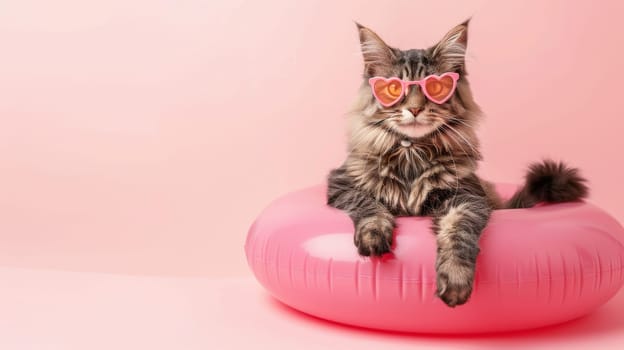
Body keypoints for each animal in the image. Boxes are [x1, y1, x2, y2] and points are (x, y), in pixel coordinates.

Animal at [324, 20, 588, 308]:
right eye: (394, 89)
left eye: (435, 89)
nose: (415, 109)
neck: (412, 154)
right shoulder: (342, 184)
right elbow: (370, 205)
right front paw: (373, 236)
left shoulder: (466, 197)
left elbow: (457, 232)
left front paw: (455, 278)